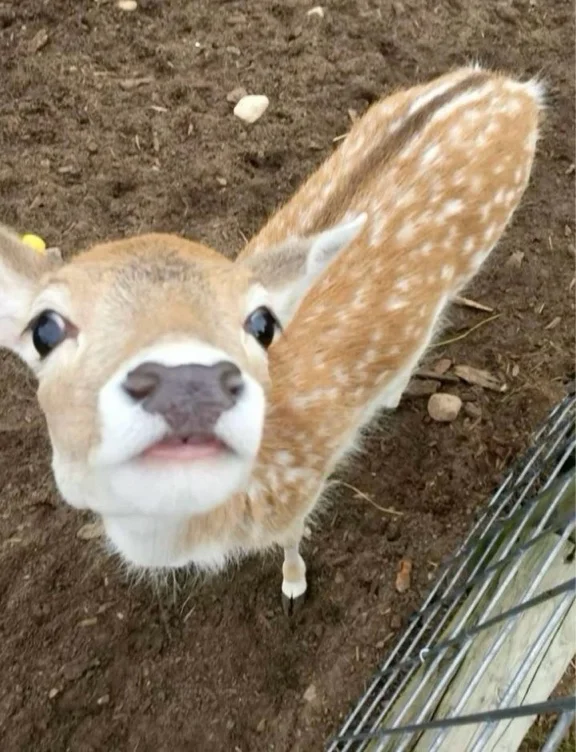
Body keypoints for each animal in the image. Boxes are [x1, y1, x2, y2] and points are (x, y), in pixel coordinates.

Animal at [0, 65, 543, 615]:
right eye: (44, 329)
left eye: (261, 323)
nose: (185, 384)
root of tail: (510, 86)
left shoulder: (301, 490)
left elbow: (292, 540)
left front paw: (293, 587)